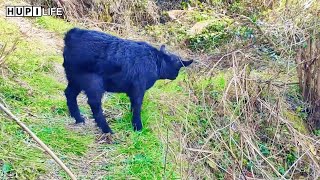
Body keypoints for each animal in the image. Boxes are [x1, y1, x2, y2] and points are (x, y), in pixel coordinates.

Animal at [62, 27, 192, 133]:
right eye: (178, 67)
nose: (175, 76)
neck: (156, 61)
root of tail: (71, 35)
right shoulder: (138, 88)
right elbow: (137, 106)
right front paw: (138, 127)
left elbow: (133, 106)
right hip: (92, 81)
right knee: (94, 103)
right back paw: (107, 130)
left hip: (75, 79)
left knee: (69, 94)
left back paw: (78, 118)